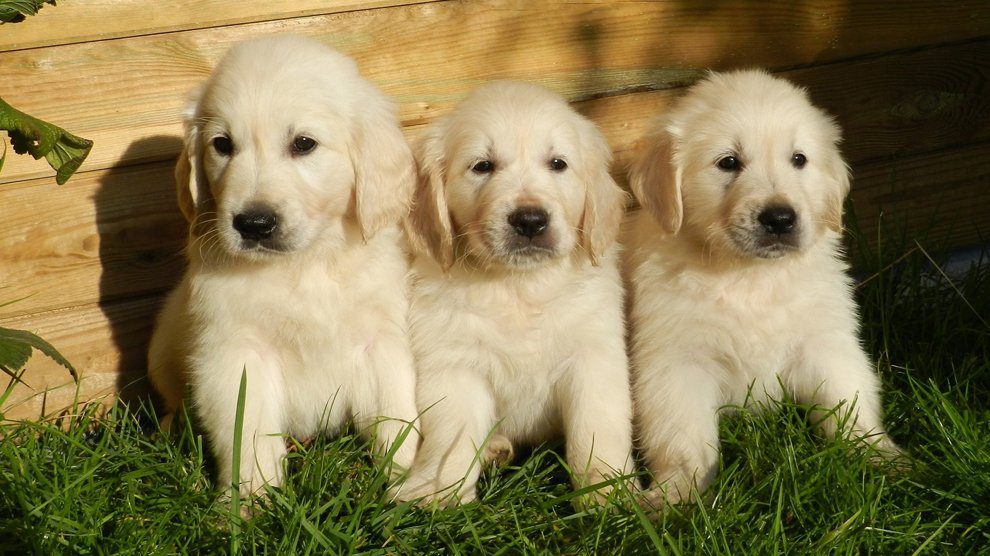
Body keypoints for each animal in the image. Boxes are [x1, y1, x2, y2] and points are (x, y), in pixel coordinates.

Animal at [149, 37, 420, 498]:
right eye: (222, 144)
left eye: (304, 144)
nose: (253, 224)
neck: (303, 265)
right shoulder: (236, 353)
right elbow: (248, 434)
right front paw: (248, 502)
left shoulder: (382, 338)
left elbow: (397, 416)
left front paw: (411, 487)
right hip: (164, 349)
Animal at [396, 80, 636, 506]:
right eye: (482, 166)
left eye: (558, 164)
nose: (530, 220)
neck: (518, 286)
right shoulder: (454, 363)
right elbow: (452, 435)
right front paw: (440, 492)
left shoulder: (594, 354)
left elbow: (598, 427)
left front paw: (609, 491)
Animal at [632, 69, 904, 508]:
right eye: (728, 162)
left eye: (799, 159)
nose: (780, 218)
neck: (750, 276)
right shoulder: (676, 363)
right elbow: (684, 437)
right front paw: (677, 492)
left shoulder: (825, 343)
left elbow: (849, 402)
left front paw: (882, 457)